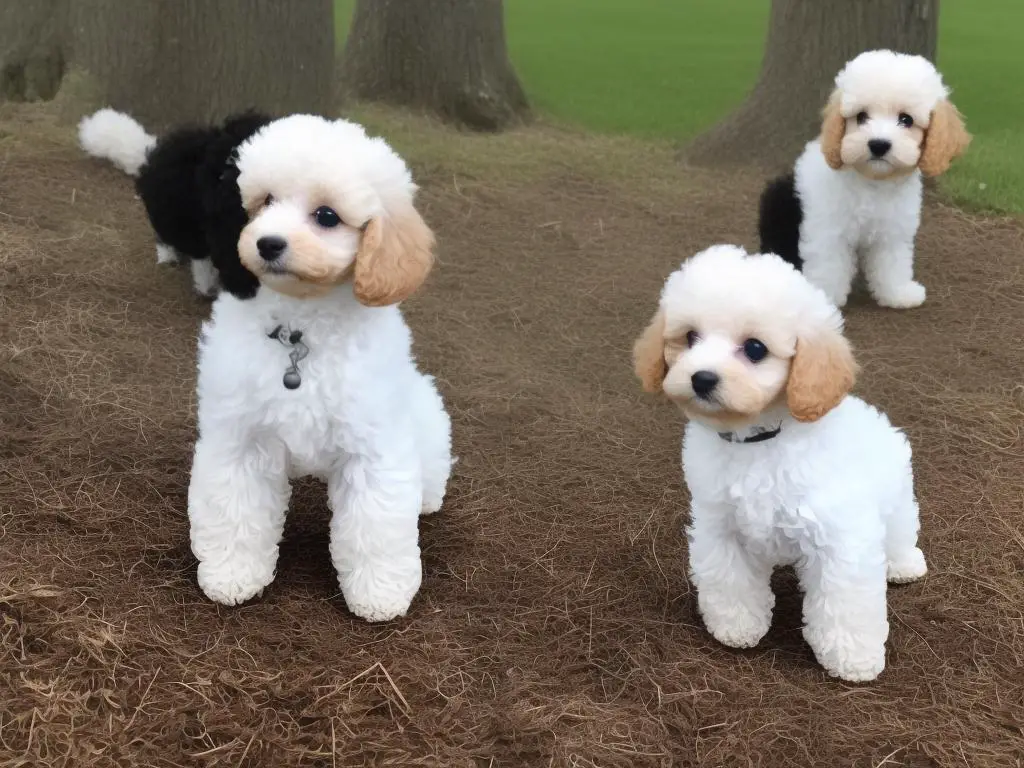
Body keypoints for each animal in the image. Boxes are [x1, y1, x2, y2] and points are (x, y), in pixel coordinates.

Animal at [189, 114, 452, 622]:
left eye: (327, 216)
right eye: (264, 202)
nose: (267, 243)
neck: (302, 330)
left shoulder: (373, 447)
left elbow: (375, 523)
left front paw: (379, 593)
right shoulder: (241, 437)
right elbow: (236, 509)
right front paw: (232, 574)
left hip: (424, 417)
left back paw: (428, 497)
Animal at [630, 244, 929, 679]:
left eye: (755, 349)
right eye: (690, 337)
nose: (701, 378)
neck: (759, 441)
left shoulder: (840, 536)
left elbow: (845, 601)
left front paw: (853, 659)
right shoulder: (722, 527)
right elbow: (731, 580)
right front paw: (737, 627)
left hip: (899, 498)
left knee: (901, 532)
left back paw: (904, 565)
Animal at [757, 48, 970, 309]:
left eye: (906, 119)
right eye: (861, 117)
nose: (878, 144)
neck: (873, 182)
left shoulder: (892, 232)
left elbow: (893, 265)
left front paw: (898, 294)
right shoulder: (828, 231)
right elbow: (828, 266)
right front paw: (823, 299)